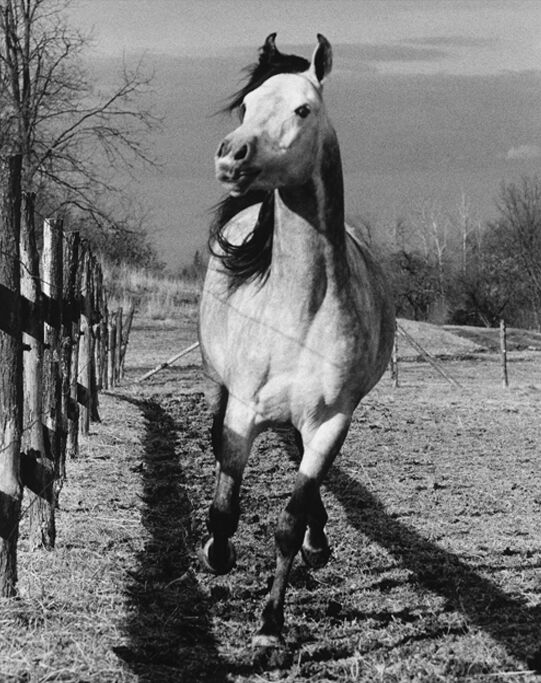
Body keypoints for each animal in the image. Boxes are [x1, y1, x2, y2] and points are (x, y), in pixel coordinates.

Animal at [198, 33, 395, 648]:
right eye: (247, 105)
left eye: (303, 109)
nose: (231, 156)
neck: (299, 309)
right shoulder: (243, 412)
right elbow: (225, 505)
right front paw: (217, 555)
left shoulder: (331, 420)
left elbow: (291, 516)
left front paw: (270, 628)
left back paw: (317, 541)